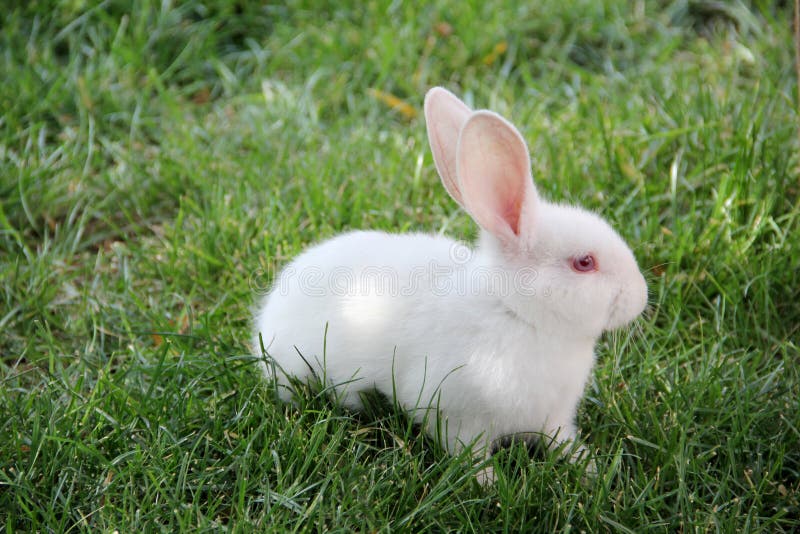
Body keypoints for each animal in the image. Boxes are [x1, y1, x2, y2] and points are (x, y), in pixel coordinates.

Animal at [253, 87, 648, 482]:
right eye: (585, 263)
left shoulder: (554, 419)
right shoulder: (457, 418)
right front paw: (488, 483)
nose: (641, 296)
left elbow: (561, 442)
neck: (517, 314)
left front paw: (593, 467)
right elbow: (469, 452)